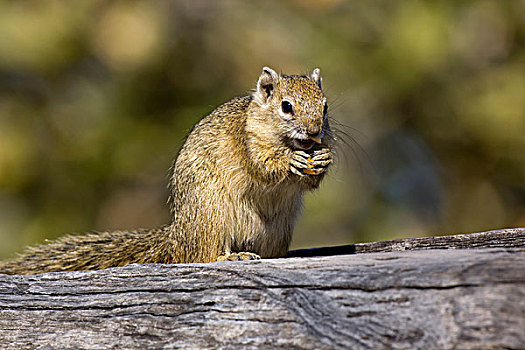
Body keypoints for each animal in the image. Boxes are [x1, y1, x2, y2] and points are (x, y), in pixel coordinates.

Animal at [0, 65, 334, 274]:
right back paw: (231, 255)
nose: (314, 132)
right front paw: (289, 161)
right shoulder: (247, 143)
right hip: (211, 217)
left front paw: (323, 159)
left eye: (325, 106)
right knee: (199, 256)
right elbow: (262, 167)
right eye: (286, 106)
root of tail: (176, 238)